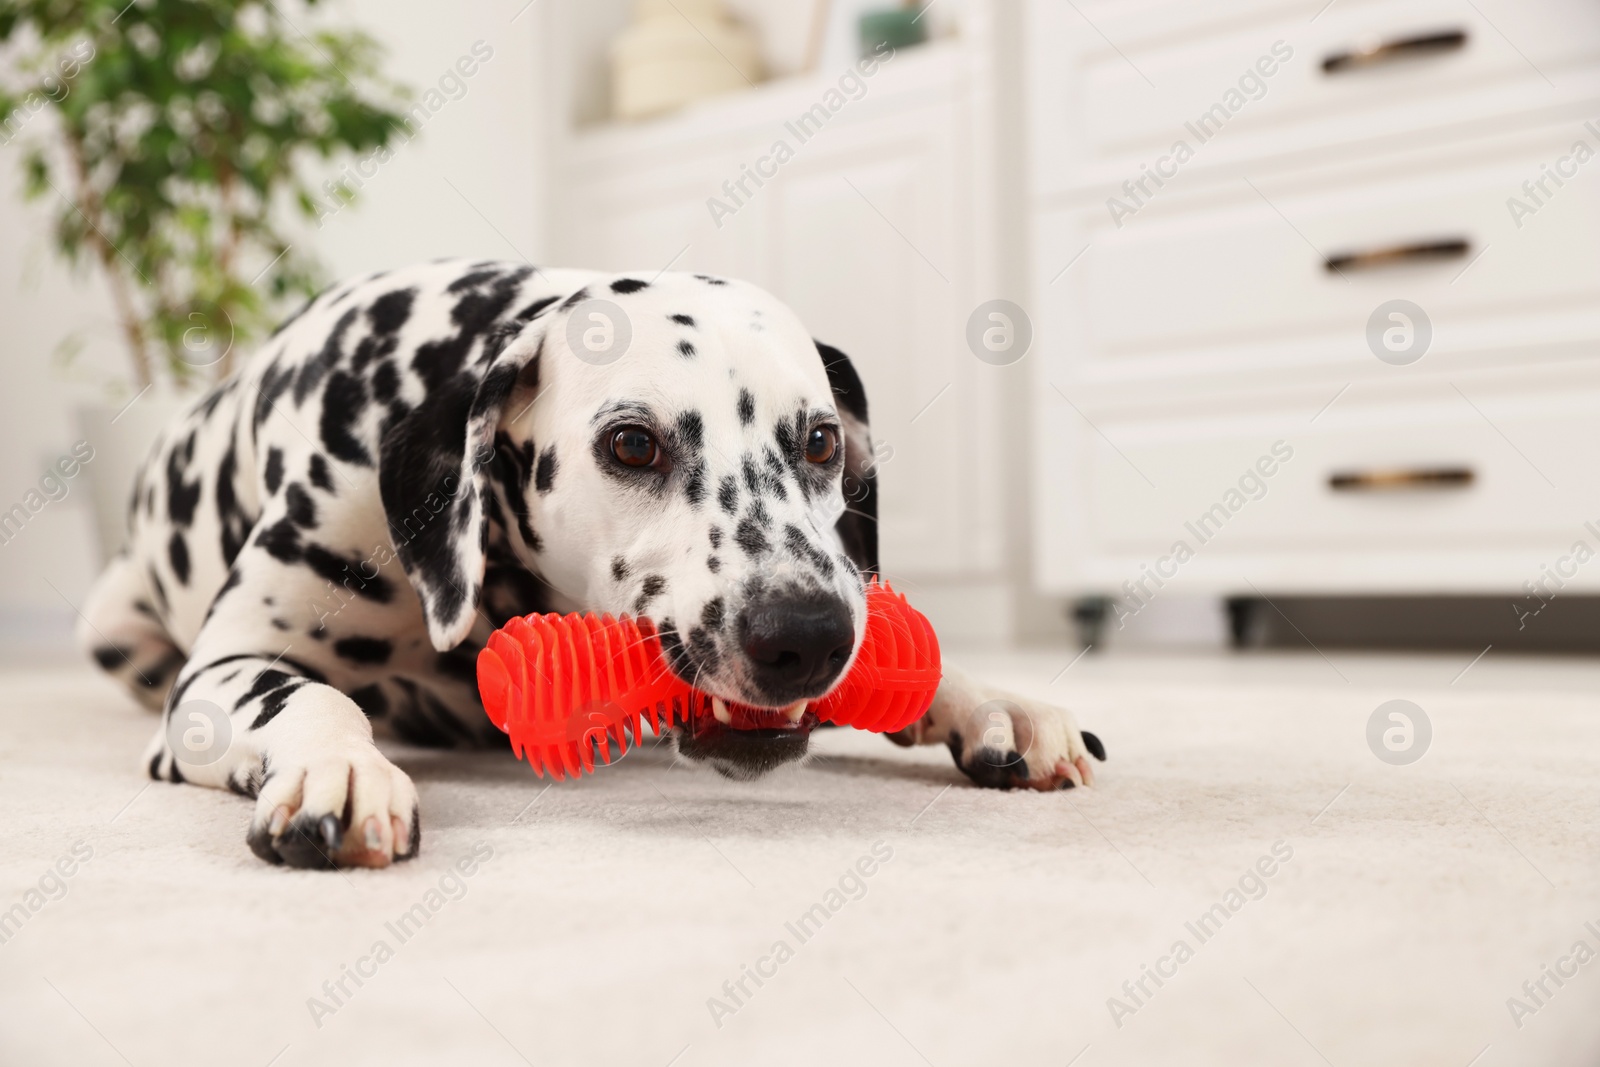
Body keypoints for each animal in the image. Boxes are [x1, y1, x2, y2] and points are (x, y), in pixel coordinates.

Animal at [72, 259, 1100, 870]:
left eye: (818, 441)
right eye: (633, 444)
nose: (806, 635)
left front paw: (998, 702)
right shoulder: (219, 676)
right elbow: (311, 696)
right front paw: (341, 765)